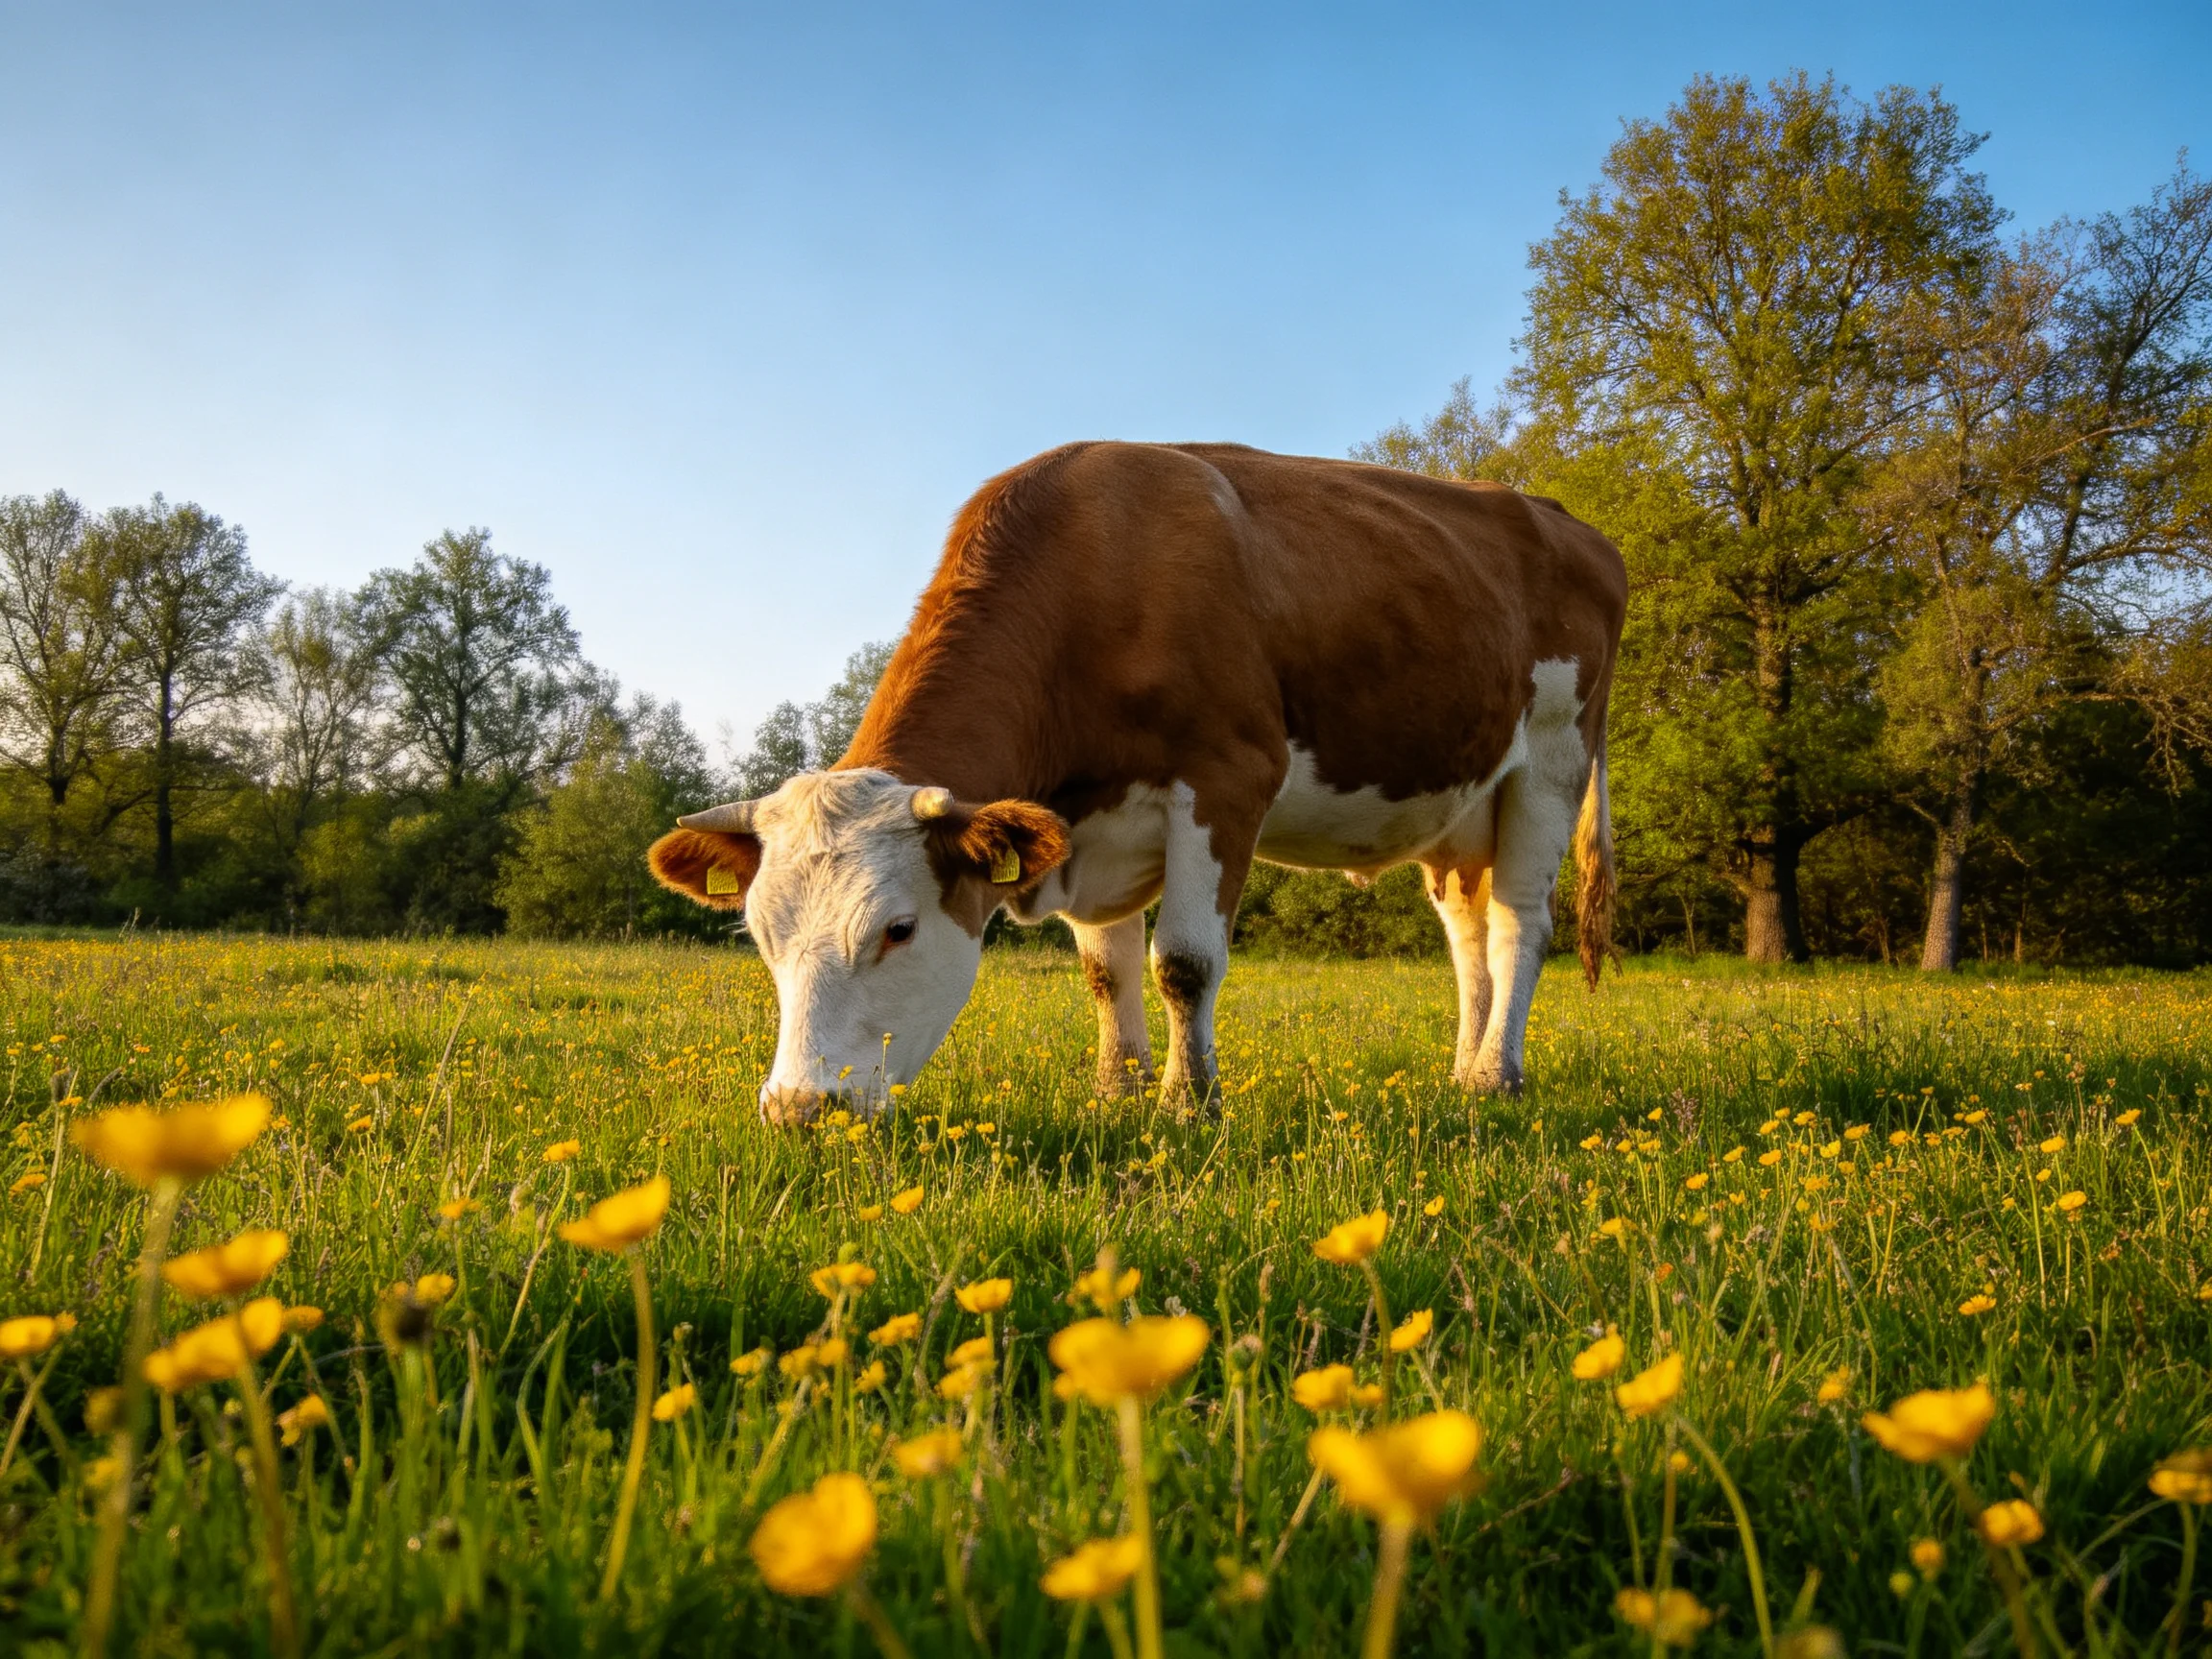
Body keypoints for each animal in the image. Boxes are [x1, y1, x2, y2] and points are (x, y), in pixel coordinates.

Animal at [648, 441, 1626, 1123]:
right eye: (760, 935)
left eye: (897, 929)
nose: (798, 1111)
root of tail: (1561, 516)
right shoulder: (1080, 826)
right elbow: (1105, 971)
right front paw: (1116, 1097)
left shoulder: (1227, 775)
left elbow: (1183, 964)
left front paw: (1188, 1105)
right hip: (1464, 805)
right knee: (1468, 935)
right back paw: (1462, 1071)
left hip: (1551, 762)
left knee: (1519, 927)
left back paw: (1496, 1078)